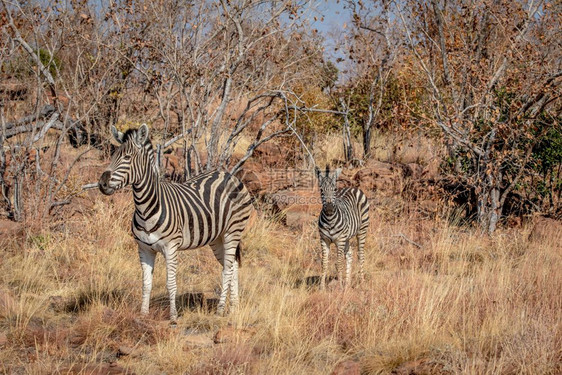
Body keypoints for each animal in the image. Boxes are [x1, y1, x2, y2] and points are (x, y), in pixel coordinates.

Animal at [98, 125, 252, 322]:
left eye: (127, 157)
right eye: (113, 155)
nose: (102, 183)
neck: (145, 208)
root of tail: (229, 175)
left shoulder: (171, 247)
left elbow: (170, 283)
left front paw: (173, 317)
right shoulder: (144, 249)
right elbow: (146, 283)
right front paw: (143, 314)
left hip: (233, 231)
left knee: (227, 270)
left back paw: (220, 309)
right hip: (217, 238)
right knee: (231, 266)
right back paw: (234, 308)